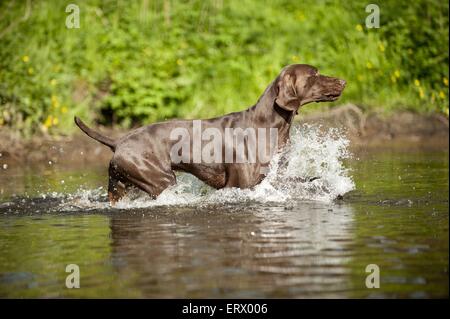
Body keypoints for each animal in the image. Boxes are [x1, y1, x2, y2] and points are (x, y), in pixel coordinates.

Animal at [75, 64, 346, 204]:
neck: (269, 126)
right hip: (160, 178)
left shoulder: (274, 178)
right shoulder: (241, 185)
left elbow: (308, 180)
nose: (343, 81)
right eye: (314, 74)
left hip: (122, 185)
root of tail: (118, 140)